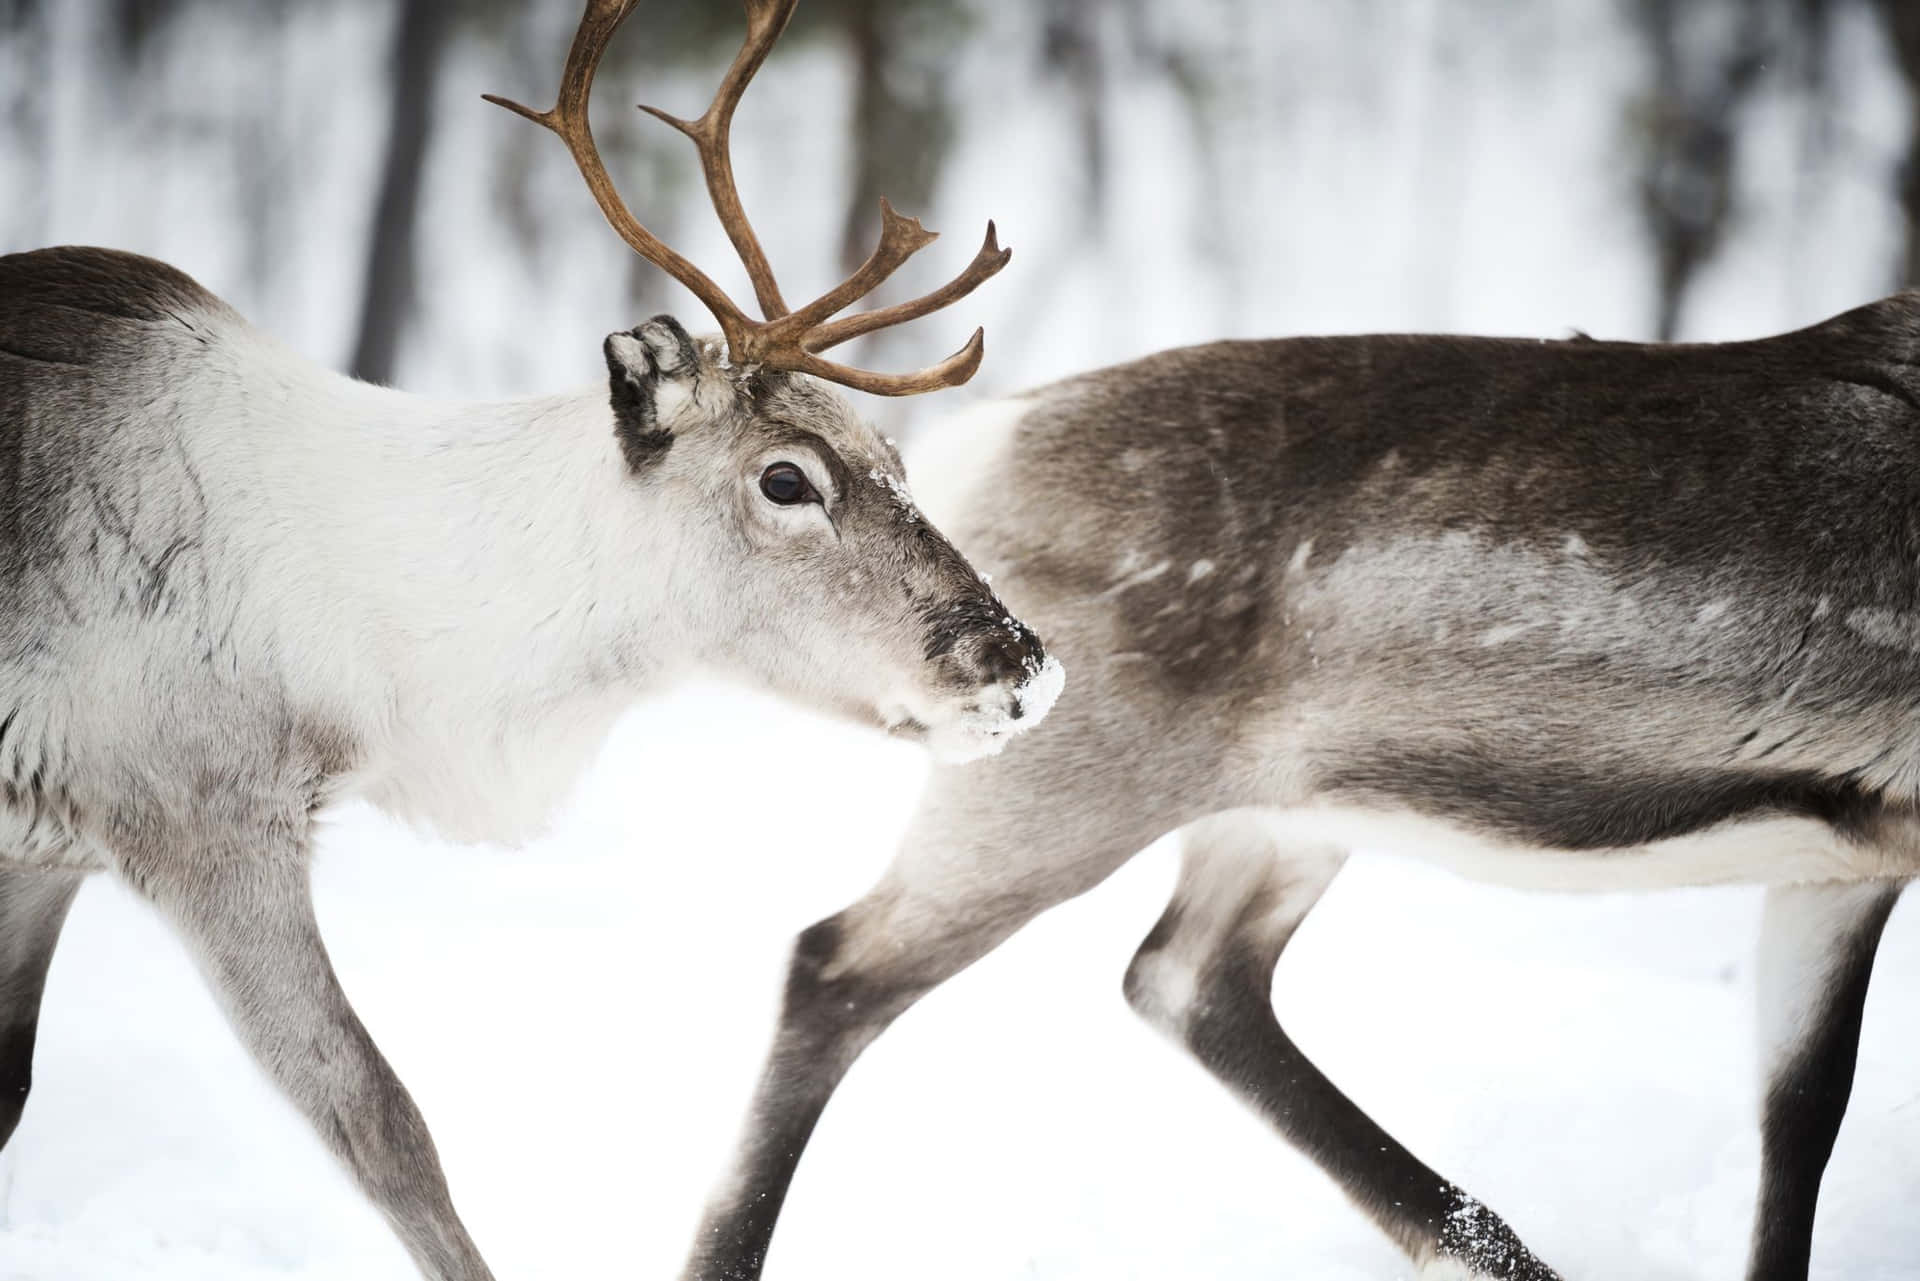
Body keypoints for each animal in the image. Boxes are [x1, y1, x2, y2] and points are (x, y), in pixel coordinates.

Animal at [0, 2, 1063, 1277]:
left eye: (899, 460)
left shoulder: (42, 848)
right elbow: (381, 1123)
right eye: (787, 479)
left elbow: (8, 1091)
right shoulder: (198, 817)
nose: (1023, 661)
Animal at [676, 305, 1920, 1276]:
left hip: (1281, 812)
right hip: (1065, 787)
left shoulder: (1842, 865)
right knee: (838, 969)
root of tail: (963, 448)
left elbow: (1802, 1113)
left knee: (1184, 976)